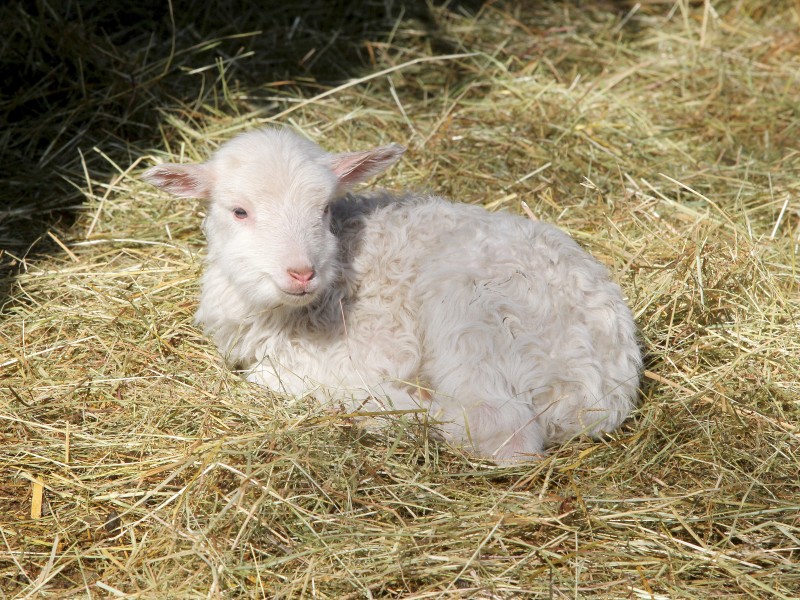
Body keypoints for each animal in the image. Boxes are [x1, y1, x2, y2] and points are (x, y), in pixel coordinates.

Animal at [145, 127, 644, 464]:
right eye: (239, 211)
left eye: (323, 209)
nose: (303, 272)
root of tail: (603, 390)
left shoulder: (375, 345)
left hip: (473, 316)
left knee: (498, 431)